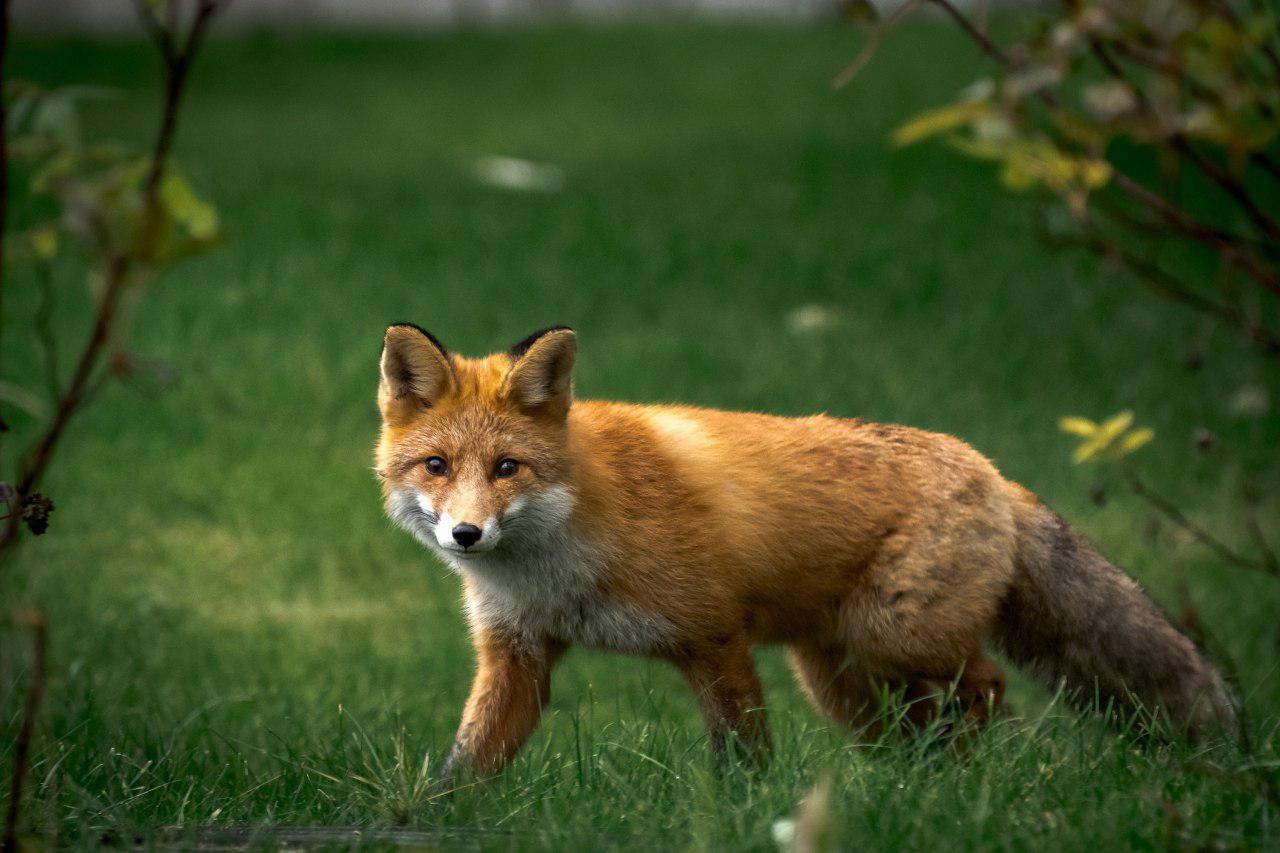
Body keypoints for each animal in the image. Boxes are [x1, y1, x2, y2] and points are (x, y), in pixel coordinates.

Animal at [376, 322, 1239, 773]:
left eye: (507, 468)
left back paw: (957, 776)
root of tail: (994, 472)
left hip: (897, 634)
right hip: (841, 675)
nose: (466, 533)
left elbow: (743, 755)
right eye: (437, 466)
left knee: (989, 684)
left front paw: (750, 810)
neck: (558, 563)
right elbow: (465, 764)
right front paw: (427, 819)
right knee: (913, 727)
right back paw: (916, 790)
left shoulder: (713, 635)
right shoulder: (517, 654)